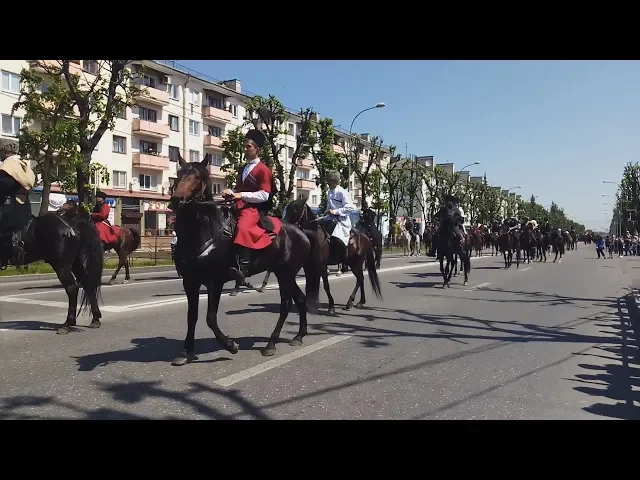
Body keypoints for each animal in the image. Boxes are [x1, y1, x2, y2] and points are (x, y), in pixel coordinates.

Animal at [169, 156, 322, 366]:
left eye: (197, 176)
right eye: (179, 173)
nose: (177, 199)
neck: (204, 234)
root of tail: (301, 231)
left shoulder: (215, 282)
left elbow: (210, 318)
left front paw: (230, 345)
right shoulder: (190, 282)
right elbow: (192, 317)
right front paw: (185, 352)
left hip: (286, 275)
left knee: (285, 305)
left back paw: (271, 344)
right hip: (286, 274)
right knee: (300, 299)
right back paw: (299, 336)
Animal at [256, 198, 384, 314]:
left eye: (296, 209)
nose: (282, 225)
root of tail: (364, 236)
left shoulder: (322, 266)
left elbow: (326, 286)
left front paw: (331, 307)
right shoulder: (308, 265)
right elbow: (308, 284)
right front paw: (308, 305)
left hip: (356, 263)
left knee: (360, 279)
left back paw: (353, 302)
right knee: (360, 280)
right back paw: (358, 302)